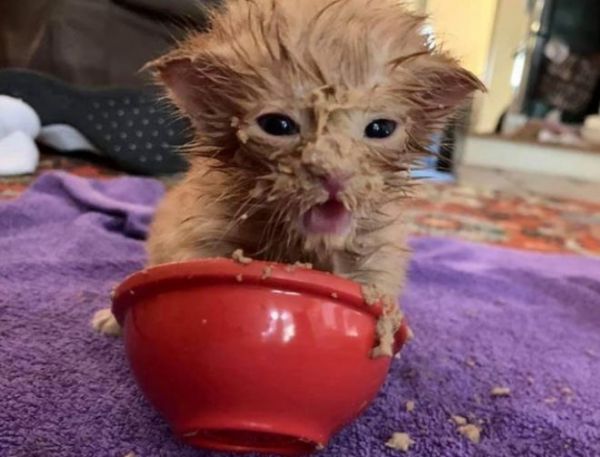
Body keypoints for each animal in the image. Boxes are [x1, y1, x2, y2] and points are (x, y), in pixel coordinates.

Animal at [93, 0, 483, 355]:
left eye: (380, 129)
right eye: (278, 125)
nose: (335, 174)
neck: (300, 245)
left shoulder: (378, 250)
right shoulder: (200, 229)